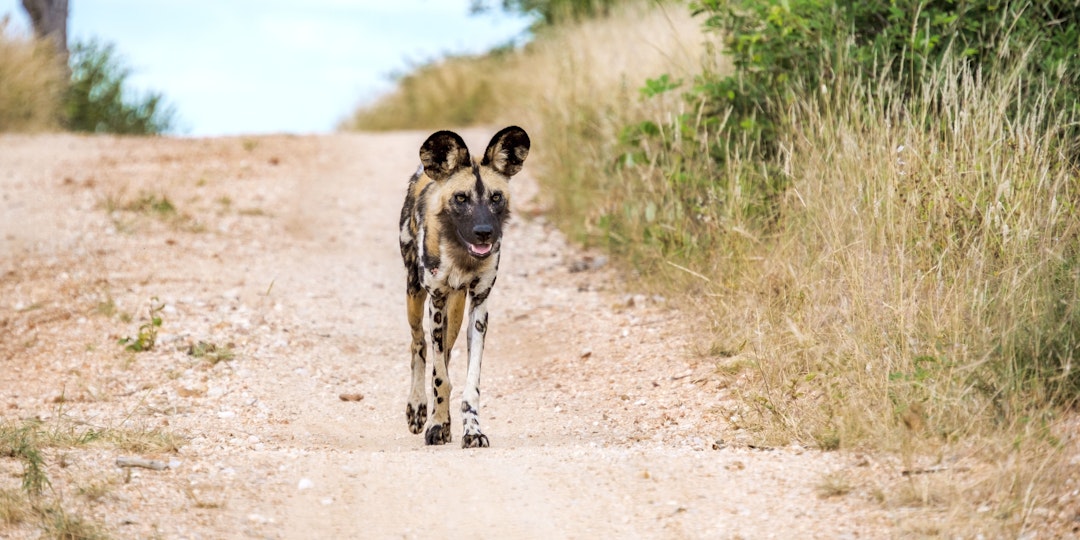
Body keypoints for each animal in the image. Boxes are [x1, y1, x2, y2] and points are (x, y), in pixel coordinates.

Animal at [399, 126, 529, 447]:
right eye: (461, 198)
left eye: (496, 197)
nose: (484, 232)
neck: (462, 255)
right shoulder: (436, 299)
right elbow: (440, 378)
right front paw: (434, 425)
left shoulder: (479, 306)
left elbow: (469, 383)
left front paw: (471, 430)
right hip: (415, 295)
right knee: (419, 345)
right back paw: (419, 410)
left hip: (455, 313)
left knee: (443, 354)